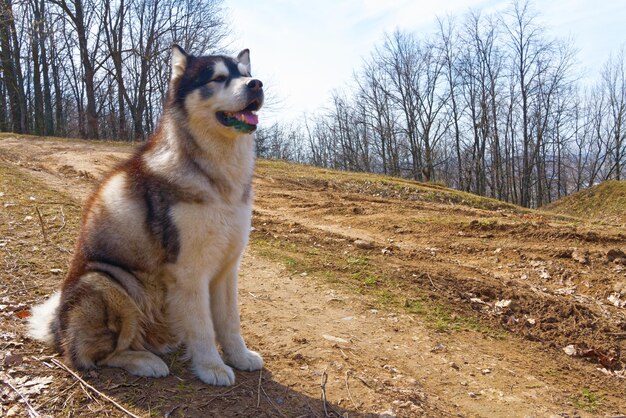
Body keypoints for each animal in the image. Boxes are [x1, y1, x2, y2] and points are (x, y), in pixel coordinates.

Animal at [28, 45, 264, 386]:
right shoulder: (189, 271)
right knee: (92, 356)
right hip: (107, 282)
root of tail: (58, 329)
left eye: (246, 75)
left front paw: (240, 357)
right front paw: (212, 366)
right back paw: (144, 361)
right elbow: (203, 327)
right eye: (218, 78)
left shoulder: (227, 268)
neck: (215, 171)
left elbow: (230, 322)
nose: (256, 85)